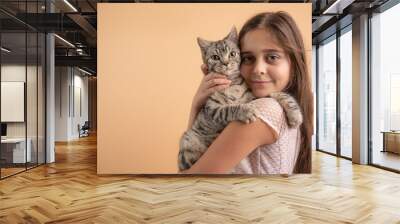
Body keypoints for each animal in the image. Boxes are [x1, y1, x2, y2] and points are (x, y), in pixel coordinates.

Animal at [178, 27, 304, 171]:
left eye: (232, 54)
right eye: (215, 57)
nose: (226, 63)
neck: (232, 83)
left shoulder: (256, 96)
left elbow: (279, 93)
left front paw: (295, 114)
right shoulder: (212, 109)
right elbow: (228, 109)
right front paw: (246, 111)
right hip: (188, 141)